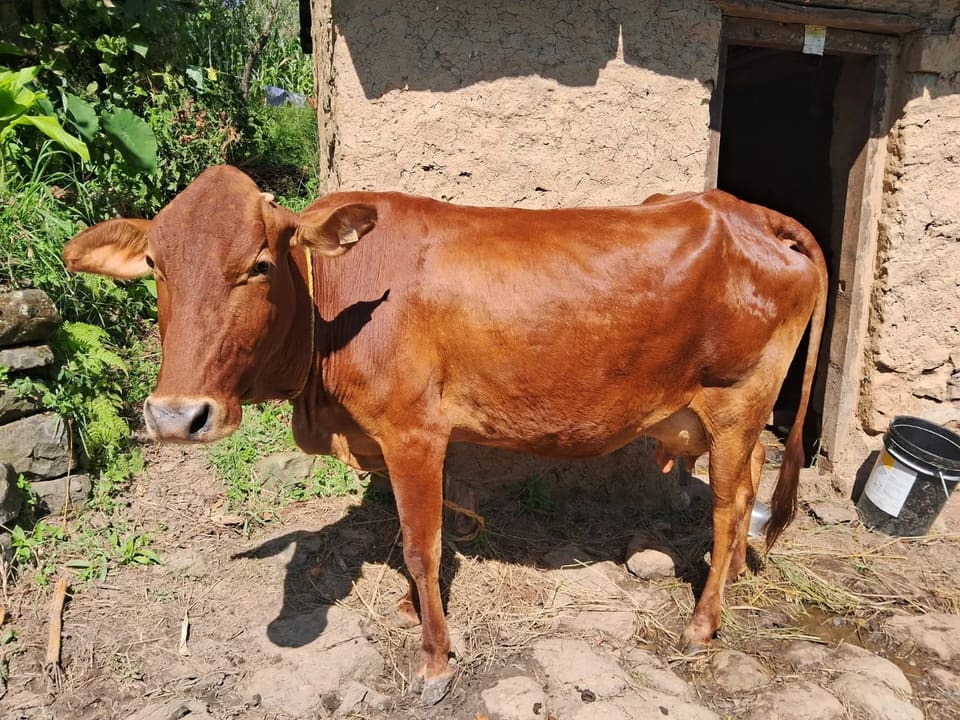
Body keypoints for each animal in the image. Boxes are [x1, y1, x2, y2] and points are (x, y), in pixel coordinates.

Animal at [63, 165, 827, 705]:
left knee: (727, 507)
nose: (175, 416)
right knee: (749, 488)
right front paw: (410, 609)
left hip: (736, 401)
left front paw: (434, 657)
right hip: (734, 417)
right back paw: (732, 580)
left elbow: (420, 543)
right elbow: (413, 541)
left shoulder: (413, 433)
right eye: (157, 266)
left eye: (258, 263)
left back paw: (702, 623)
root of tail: (746, 212)